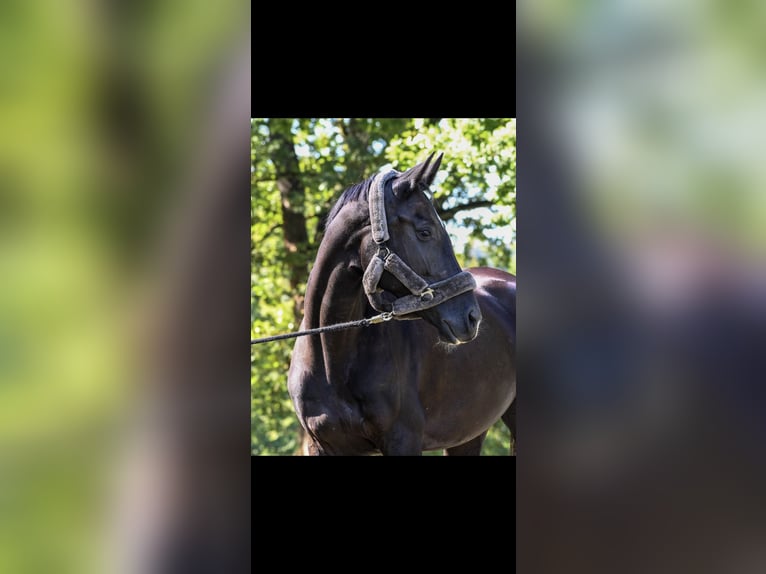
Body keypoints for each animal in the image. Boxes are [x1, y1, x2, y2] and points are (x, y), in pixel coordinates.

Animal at [287, 152, 516, 455]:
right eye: (425, 232)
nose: (471, 317)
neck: (331, 360)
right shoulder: (321, 446)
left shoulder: (403, 440)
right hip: (468, 435)